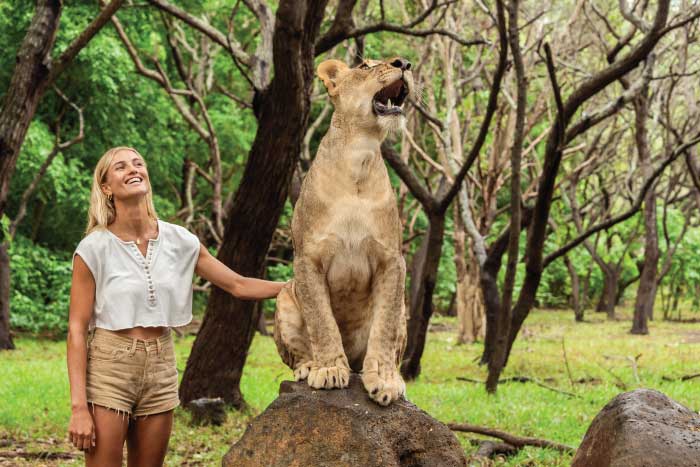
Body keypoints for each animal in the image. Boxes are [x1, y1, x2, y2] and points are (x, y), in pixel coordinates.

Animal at [273, 56, 414, 406]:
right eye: (365, 65)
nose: (404, 62)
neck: (359, 156)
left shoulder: (392, 260)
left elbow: (384, 328)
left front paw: (386, 381)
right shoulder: (307, 259)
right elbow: (322, 320)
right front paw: (328, 370)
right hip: (283, 296)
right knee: (298, 352)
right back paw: (309, 367)